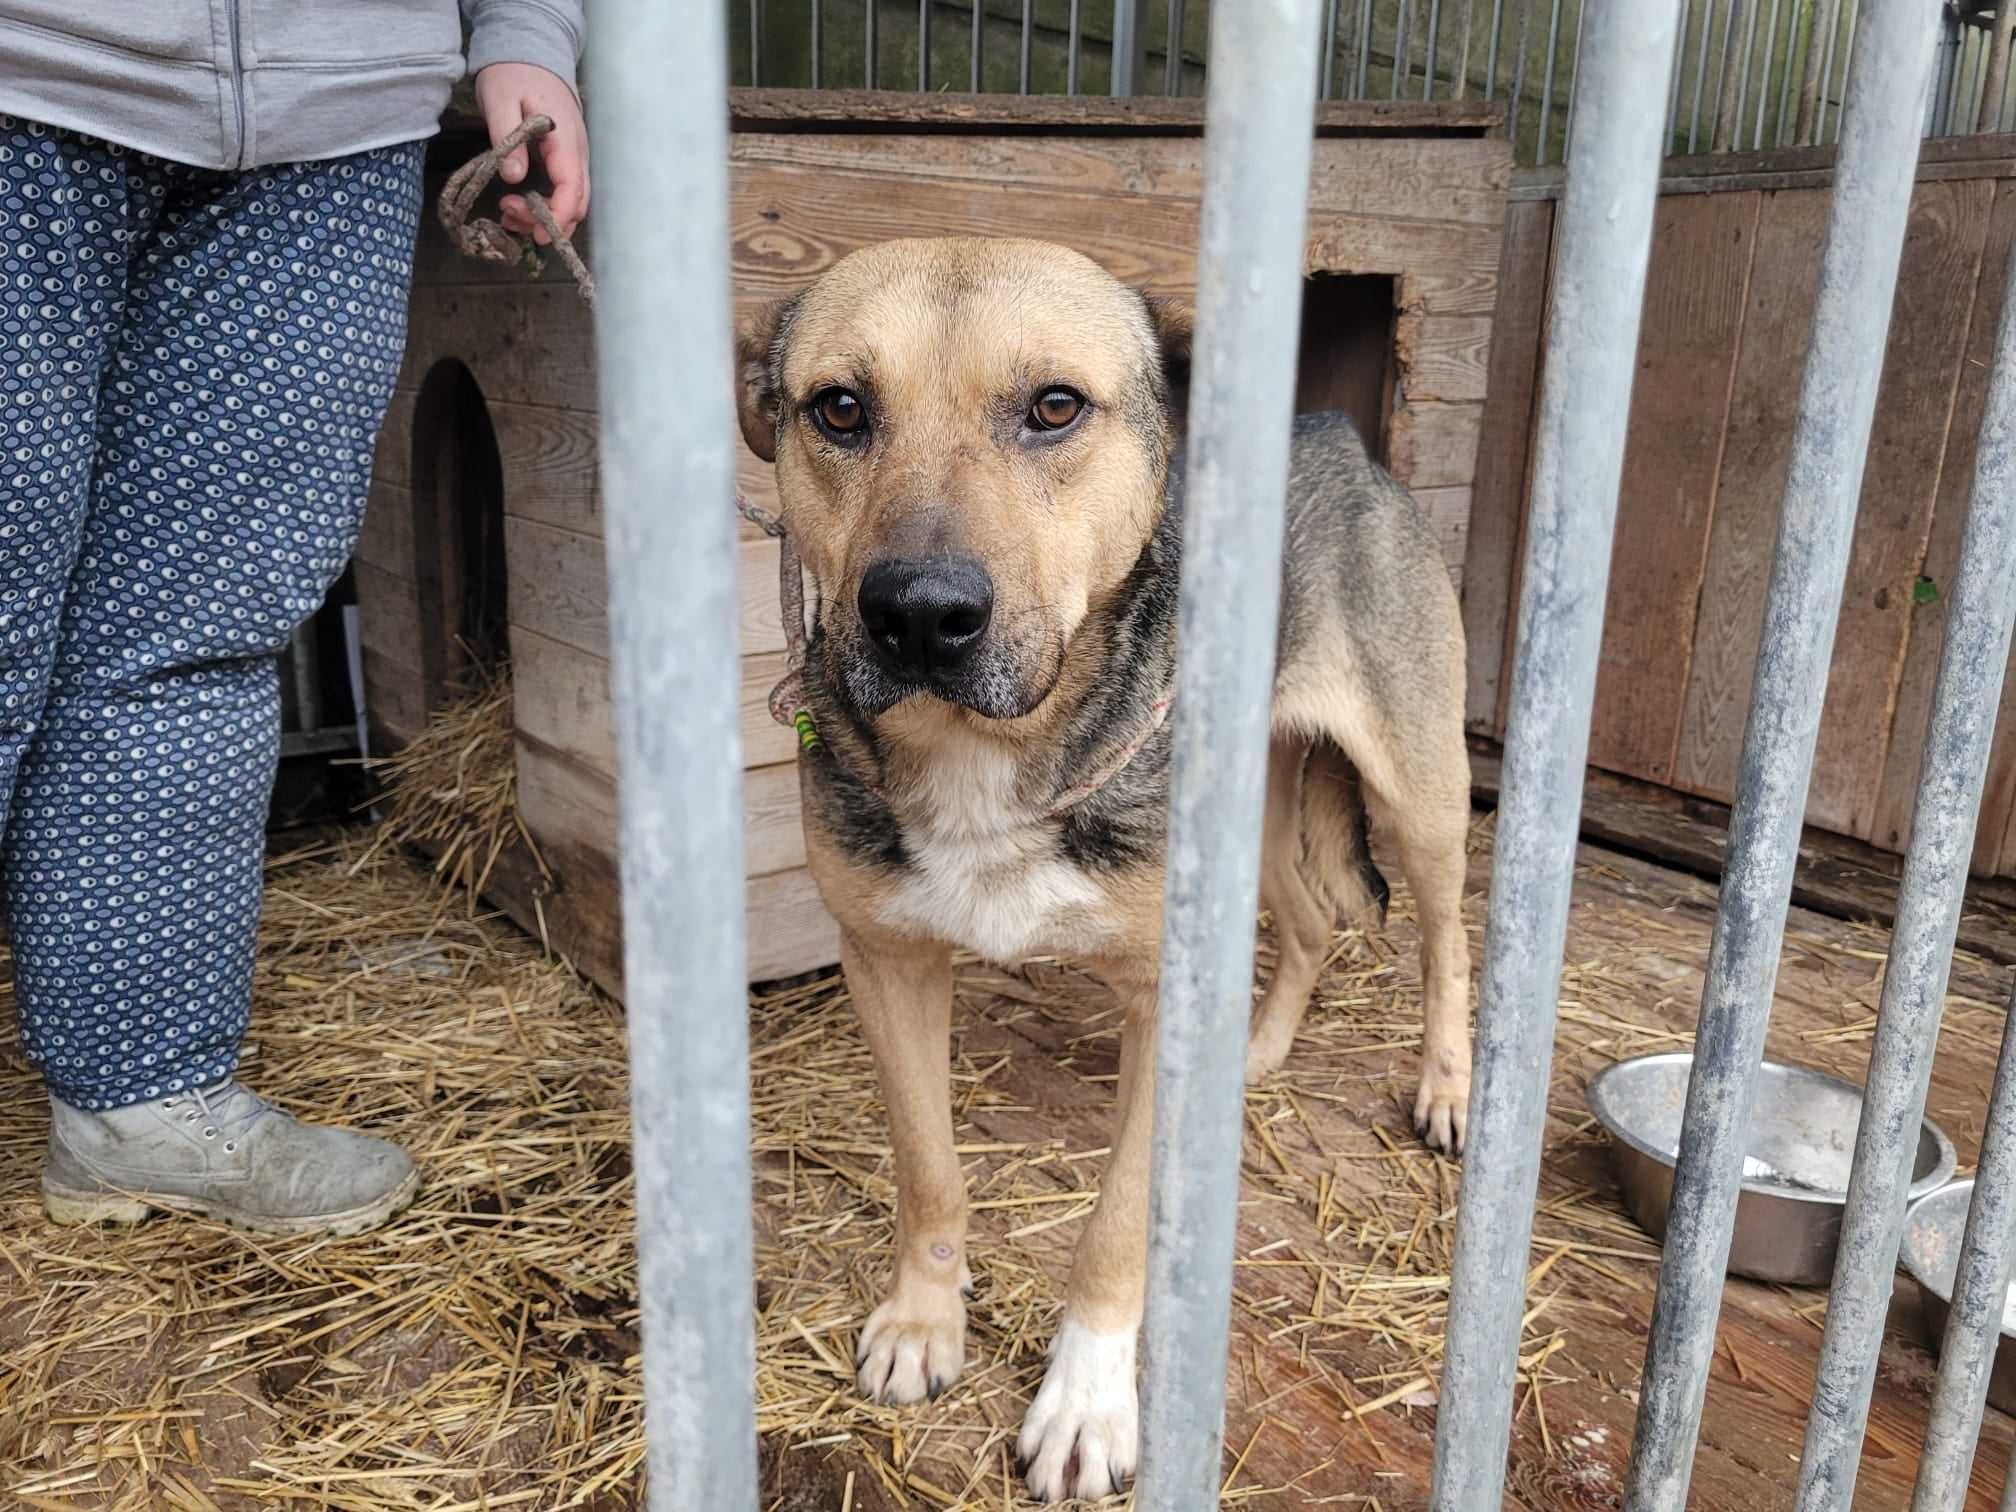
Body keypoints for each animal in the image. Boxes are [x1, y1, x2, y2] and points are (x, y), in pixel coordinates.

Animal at [733, 236, 1475, 1507]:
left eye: (1054, 407)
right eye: (838, 409)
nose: (920, 615)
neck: (988, 764)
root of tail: (1340, 432)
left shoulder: (1157, 999)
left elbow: (1118, 1226)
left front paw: (1085, 1400)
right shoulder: (885, 960)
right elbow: (928, 1168)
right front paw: (923, 1322)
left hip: (1420, 795)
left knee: (1446, 938)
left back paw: (1446, 1088)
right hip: (1254, 811)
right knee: (1311, 924)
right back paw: (1259, 1051)